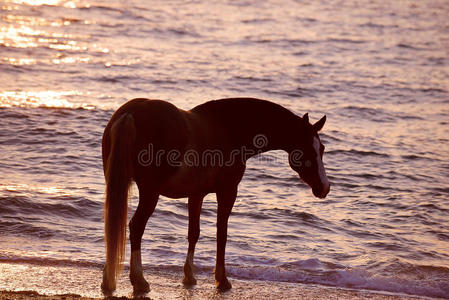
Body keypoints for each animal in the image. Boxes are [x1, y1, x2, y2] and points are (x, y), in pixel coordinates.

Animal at [101, 97, 330, 294]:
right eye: (309, 149)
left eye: (322, 148)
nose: (324, 187)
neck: (228, 129)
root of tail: (130, 114)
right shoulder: (227, 191)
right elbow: (222, 234)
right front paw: (222, 279)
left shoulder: (196, 194)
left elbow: (194, 233)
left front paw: (189, 276)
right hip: (150, 192)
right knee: (136, 227)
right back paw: (139, 281)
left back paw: (109, 279)